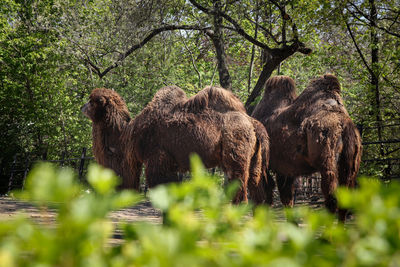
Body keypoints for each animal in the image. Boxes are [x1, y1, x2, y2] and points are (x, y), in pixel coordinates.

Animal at [81, 87, 270, 204]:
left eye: (92, 101)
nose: (82, 106)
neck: (128, 137)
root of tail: (253, 124)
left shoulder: (157, 158)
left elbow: (161, 188)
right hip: (254, 159)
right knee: (257, 189)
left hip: (236, 149)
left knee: (239, 184)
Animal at [253, 74, 362, 221]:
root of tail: (344, 125)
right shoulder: (286, 168)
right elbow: (287, 198)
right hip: (350, 163)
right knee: (344, 199)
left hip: (327, 163)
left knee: (332, 198)